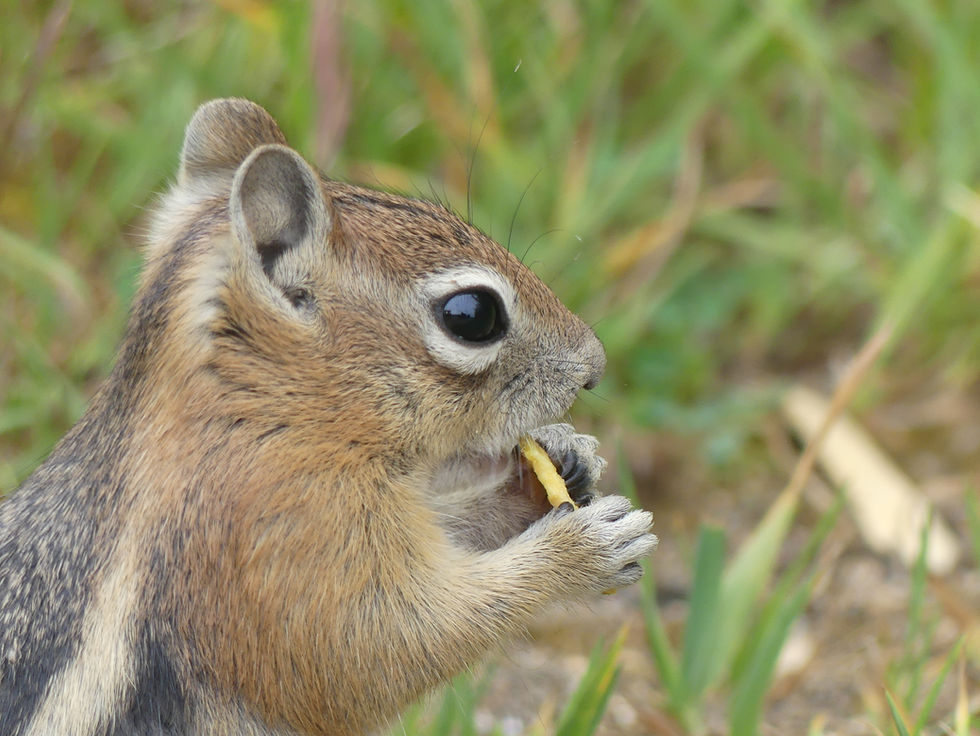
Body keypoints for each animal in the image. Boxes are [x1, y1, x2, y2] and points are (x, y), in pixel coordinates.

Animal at [0, 98, 657, 736]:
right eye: (471, 314)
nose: (593, 367)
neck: (248, 413)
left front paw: (564, 460)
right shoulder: (281, 537)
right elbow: (378, 649)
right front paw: (579, 550)